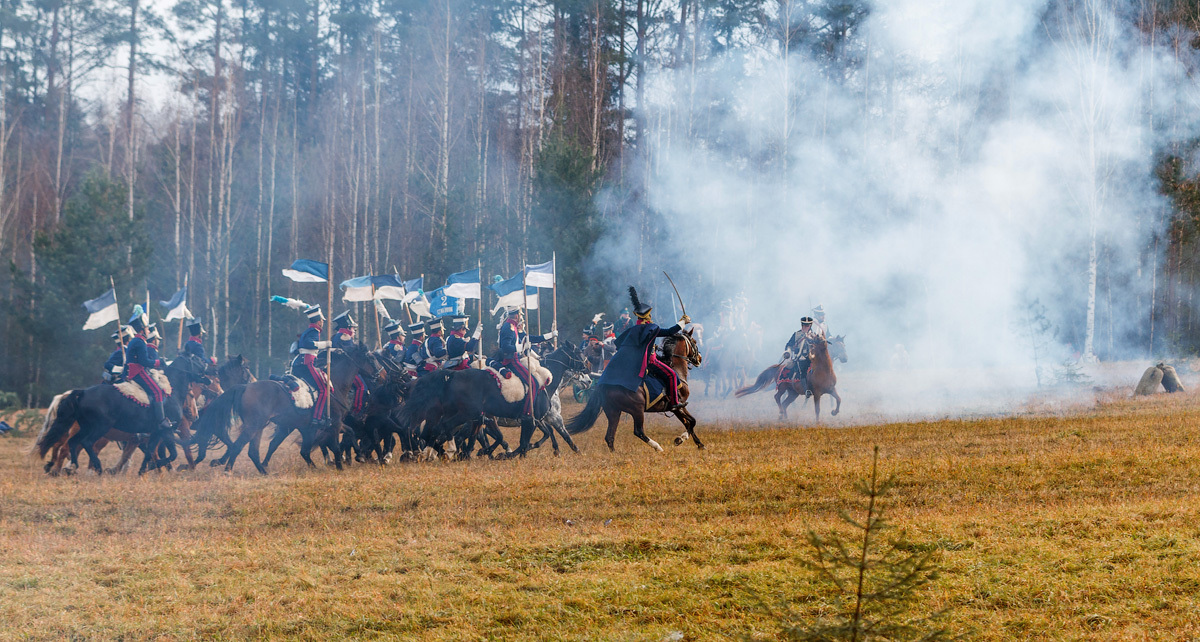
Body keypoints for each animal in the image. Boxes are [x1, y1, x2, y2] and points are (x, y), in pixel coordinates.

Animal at [566, 331, 705, 451]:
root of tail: (605, 385)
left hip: (614, 412)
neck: (676, 368)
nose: (699, 358)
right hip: (637, 410)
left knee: (610, 436)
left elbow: (688, 423)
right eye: (694, 341)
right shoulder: (678, 406)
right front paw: (681, 439)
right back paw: (657, 447)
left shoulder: (676, 408)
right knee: (638, 431)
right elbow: (692, 421)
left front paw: (697, 443)